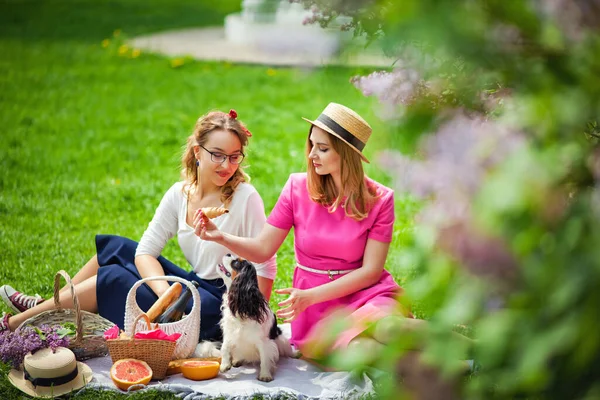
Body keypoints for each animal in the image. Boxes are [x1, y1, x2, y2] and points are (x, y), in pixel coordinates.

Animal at [216, 253, 292, 382]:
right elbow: (225, 347)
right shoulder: (230, 332)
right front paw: (225, 365)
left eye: (236, 263)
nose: (228, 253)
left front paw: (265, 375)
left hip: (281, 340)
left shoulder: (264, 342)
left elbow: (265, 358)